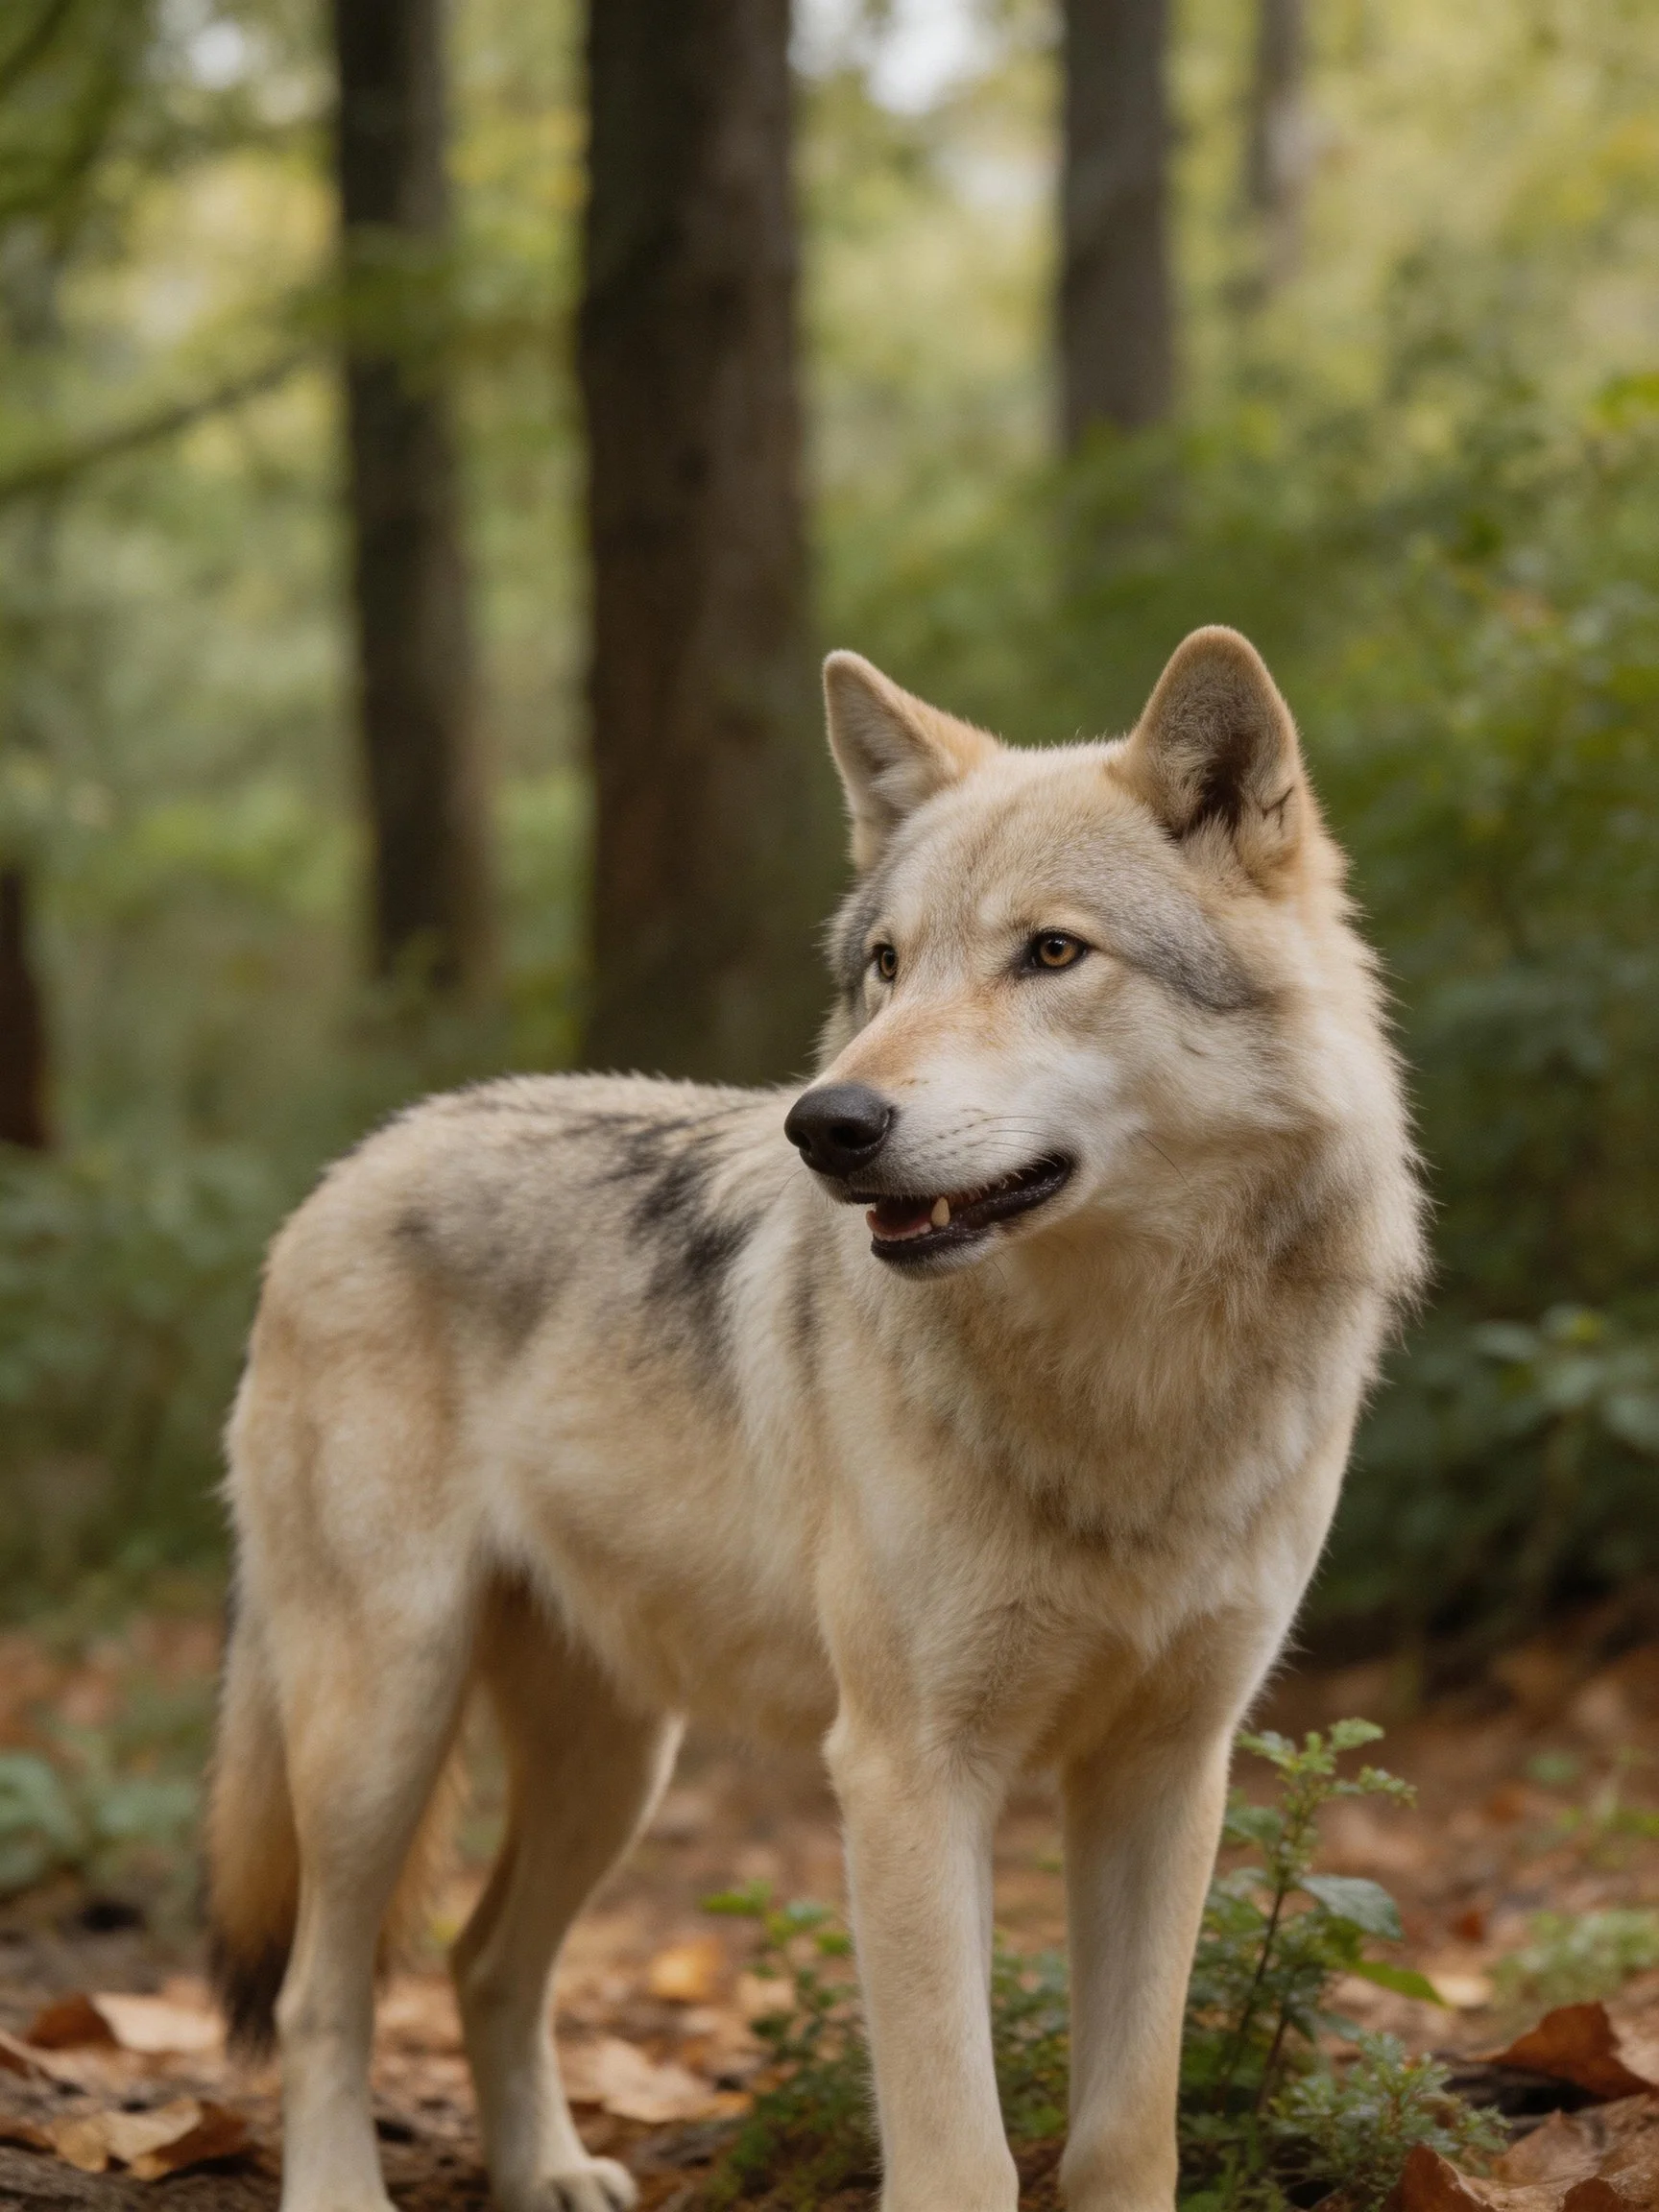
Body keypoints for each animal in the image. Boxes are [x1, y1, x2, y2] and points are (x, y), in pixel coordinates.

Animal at [207, 627, 1423, 2212]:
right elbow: (961, 2154)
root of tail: (353, 1164)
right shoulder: (906, 1773)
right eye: (886, 965)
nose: (827, 1126)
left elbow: (1126, 2130)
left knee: (483, 1961)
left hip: (617, 1766)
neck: (1121, 1382)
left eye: (1052, 952)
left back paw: (553, 2172)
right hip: (384, 1722)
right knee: (321, 1991)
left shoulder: (1167, 1773)